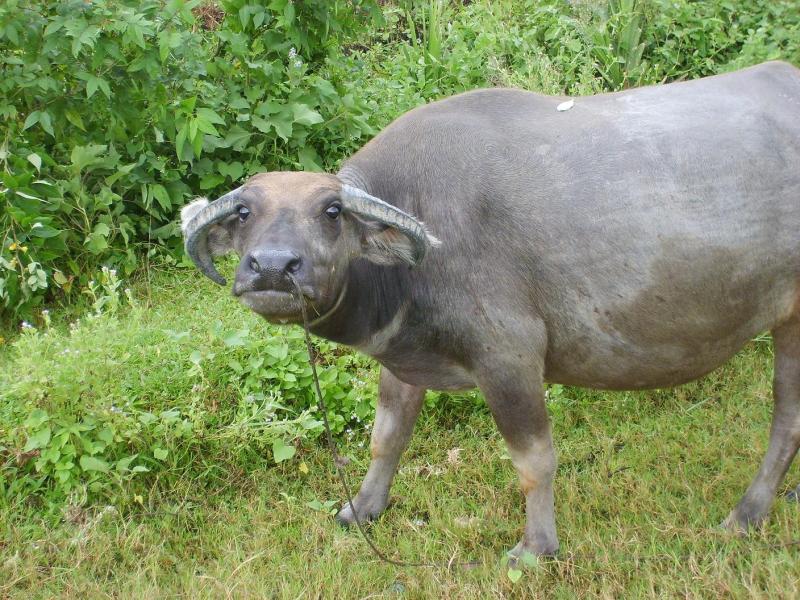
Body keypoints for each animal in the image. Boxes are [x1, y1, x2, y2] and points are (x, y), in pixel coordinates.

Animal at [181, 61, 800, 558]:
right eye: (244, 213)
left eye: (332, 211)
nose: (272, 267)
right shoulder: (403, 357)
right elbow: (388, 436)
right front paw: (363, 508)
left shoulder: (510, 358)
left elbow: (534, 461)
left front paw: (536, 548)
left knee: (784, 416)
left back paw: (745, 514)